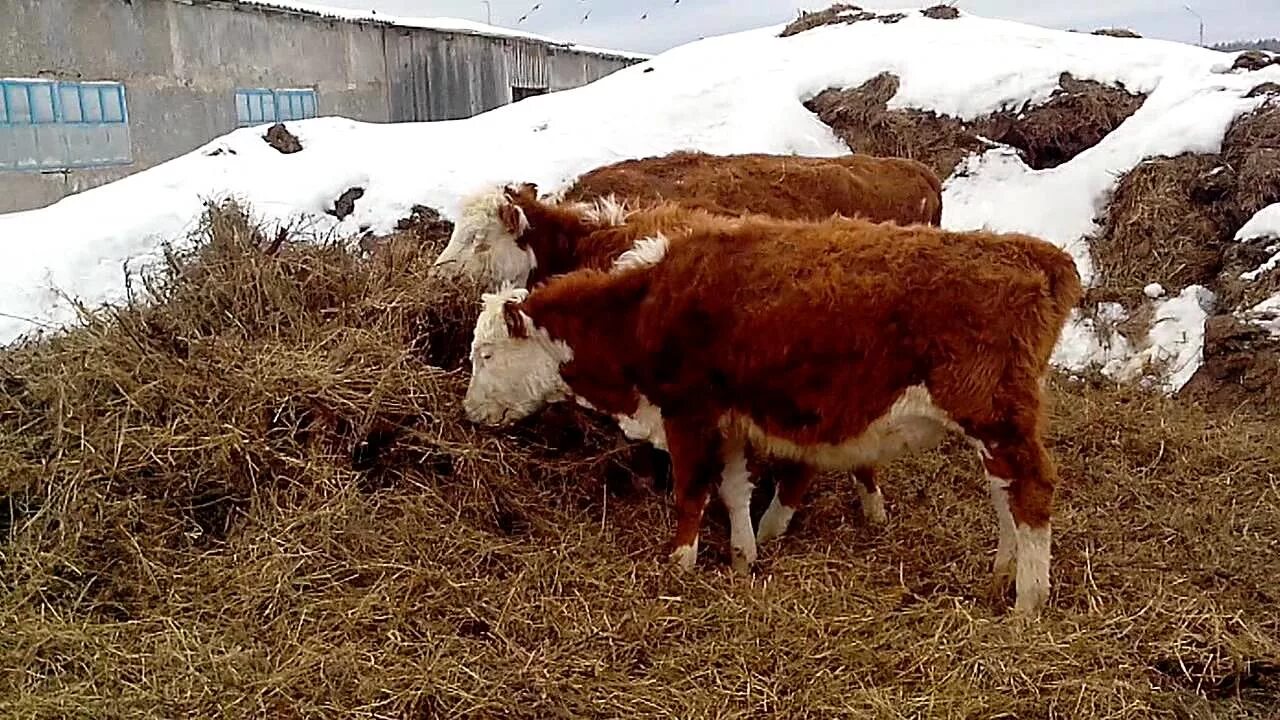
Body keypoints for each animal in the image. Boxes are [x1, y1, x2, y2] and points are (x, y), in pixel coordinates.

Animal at [460, 204, 1080, 614]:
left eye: (485, 354)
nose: (469, 413)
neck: (643, 307)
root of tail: (1031, 252)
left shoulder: (688, 414)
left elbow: (691, 493)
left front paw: (679, 565)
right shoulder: (729, 421)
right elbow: (734, 489)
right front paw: (744, 556)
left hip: (996, 419)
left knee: (1032, 491)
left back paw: (1029, 599)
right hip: (994, 426)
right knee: (1004, 494)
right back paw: (1001, 572)